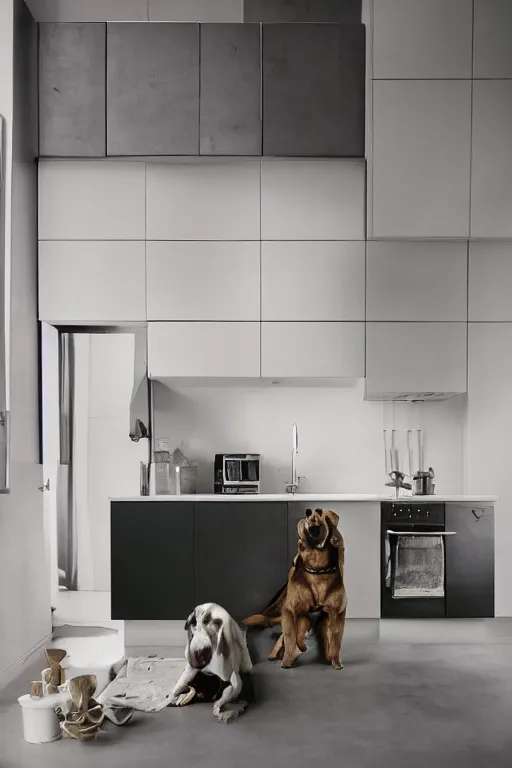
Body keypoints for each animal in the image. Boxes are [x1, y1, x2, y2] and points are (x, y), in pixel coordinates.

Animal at [244, 512, 348, 668]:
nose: (308, 517)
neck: (318, 571)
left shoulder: (336, 613)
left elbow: (334, 641)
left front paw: (334, 660)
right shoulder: (292, 611)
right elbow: (290, 639)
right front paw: (287, 659)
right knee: (284, 634)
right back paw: (277, 654)